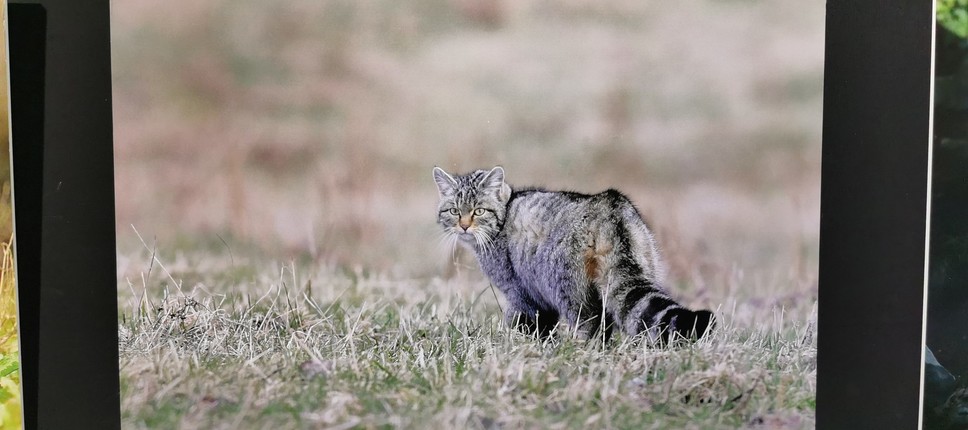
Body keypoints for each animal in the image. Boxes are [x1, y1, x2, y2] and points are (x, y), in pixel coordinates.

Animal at [434, 166, 716, 344]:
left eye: (479, 211)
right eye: (454, 211)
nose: (464, 226)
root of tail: (610, 209)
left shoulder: (520, 292)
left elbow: (523, 323)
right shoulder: (539, 299)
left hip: (569, 289)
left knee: (591, 324)